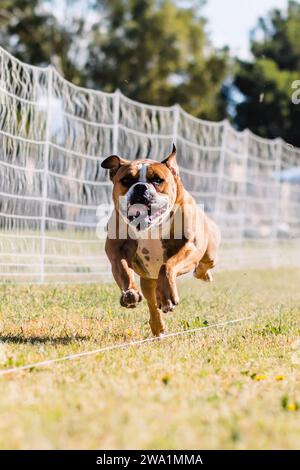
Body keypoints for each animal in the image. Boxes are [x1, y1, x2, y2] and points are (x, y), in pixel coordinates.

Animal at [101, 145, 220, 336]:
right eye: (126, 180)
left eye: (157, 179)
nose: (140, 187)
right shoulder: (116, 249)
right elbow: (123, 268)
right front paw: (130, 293)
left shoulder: (189, 245)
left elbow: (168, 265)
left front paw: (167, 296)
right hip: (148, 280)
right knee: (151, 302)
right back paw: (158, 324)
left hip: (210, 253)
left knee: (204, 264)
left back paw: (200, 275)